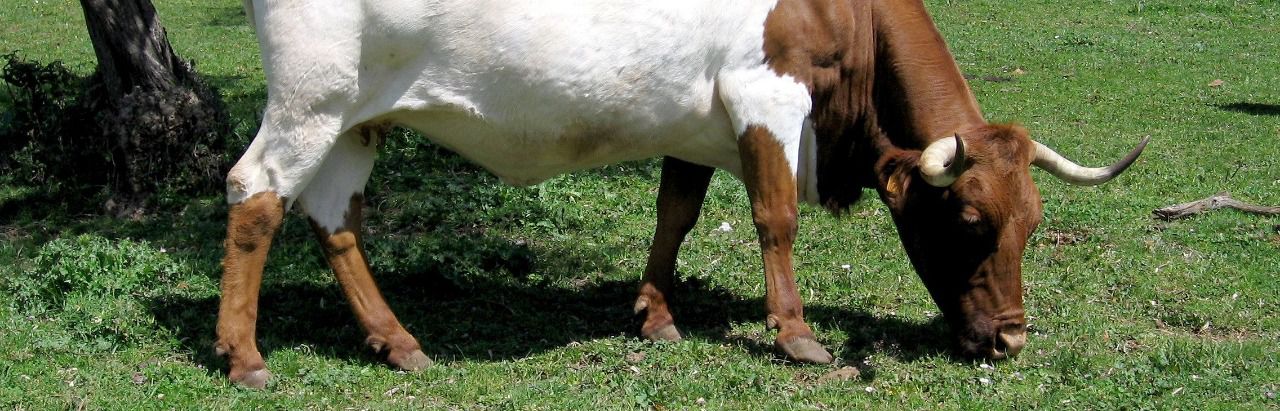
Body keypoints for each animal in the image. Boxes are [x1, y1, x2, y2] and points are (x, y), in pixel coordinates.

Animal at [215, 0, 1146, 386]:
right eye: (971, 218)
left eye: (1032, 222)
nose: (1012, 339)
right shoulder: (767, 97)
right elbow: (776, 218)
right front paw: (796, 335)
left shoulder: (695, 120)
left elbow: (677, 213)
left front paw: (656, 314)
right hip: (310, 99)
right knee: (256, 194)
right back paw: (245, 354)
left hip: (355, 119)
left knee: (335, 218)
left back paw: (397, 340)